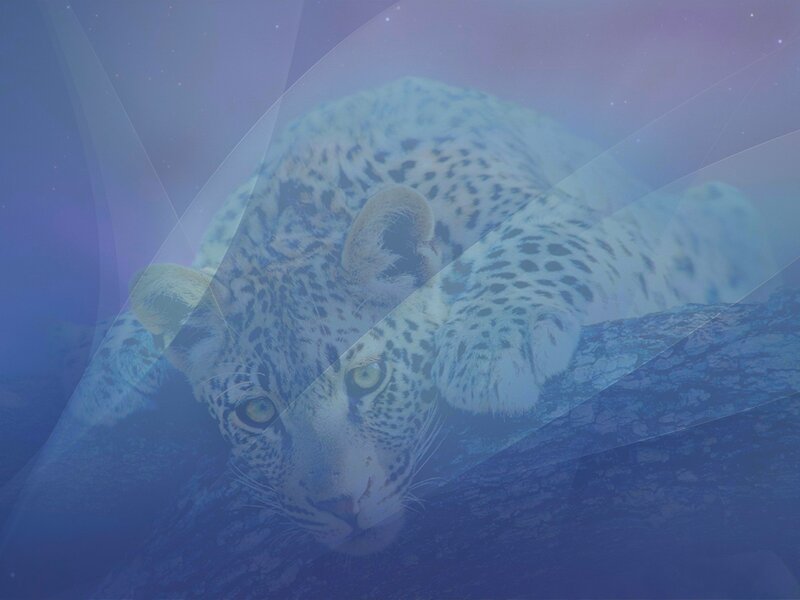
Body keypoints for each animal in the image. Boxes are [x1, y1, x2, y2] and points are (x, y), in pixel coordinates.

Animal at [66, 77, 772, 555]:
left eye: (366, 378)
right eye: (258, 412)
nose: (341, 506)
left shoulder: (577, 216)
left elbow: (539, 243)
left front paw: (490, 347)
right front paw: (101, 394)